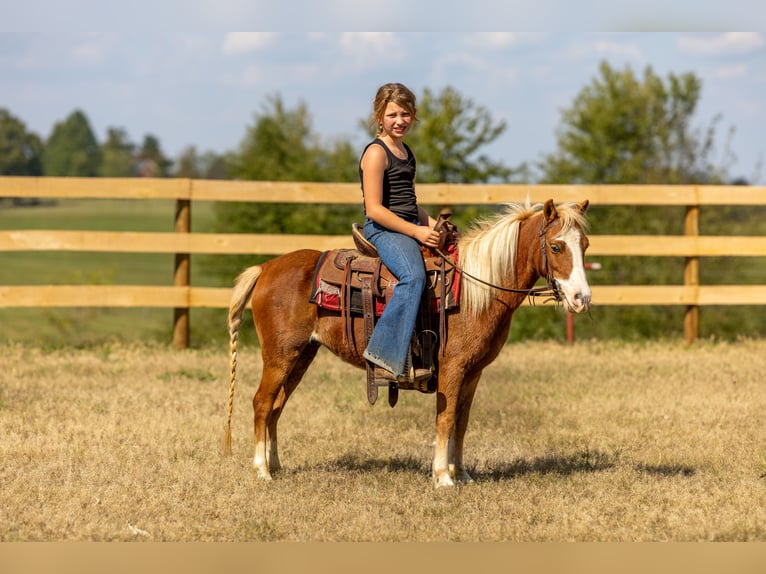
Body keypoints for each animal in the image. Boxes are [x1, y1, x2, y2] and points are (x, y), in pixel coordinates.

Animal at [224, 198, 591, 488]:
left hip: (301, 355)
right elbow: (446, 418)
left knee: (276, 407)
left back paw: (276, 465)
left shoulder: (474, 372)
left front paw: (462, 474)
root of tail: (266, 267)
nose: (581, 298)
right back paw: (262, 470)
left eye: (585, 245)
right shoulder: (453, 368)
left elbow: (462, 421)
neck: (475, 291)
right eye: (556, 246)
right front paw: (443, 477)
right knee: (261, 403)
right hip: (279, 355)